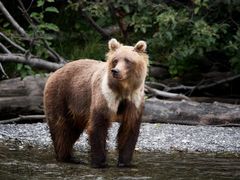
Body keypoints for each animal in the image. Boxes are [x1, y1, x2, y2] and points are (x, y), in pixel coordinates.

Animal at [43, 38, 148, 168]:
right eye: (115, 60)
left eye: (128, 60)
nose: (115, 71)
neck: (123, 88)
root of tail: (55, 72)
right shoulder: (105, 95)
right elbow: (99, 124)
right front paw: (100, 162)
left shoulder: (134, 99)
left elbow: (130, 127)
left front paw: (124, 162)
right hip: (61, 95)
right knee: (61, 127)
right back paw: (65, 157)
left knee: (73, 128)